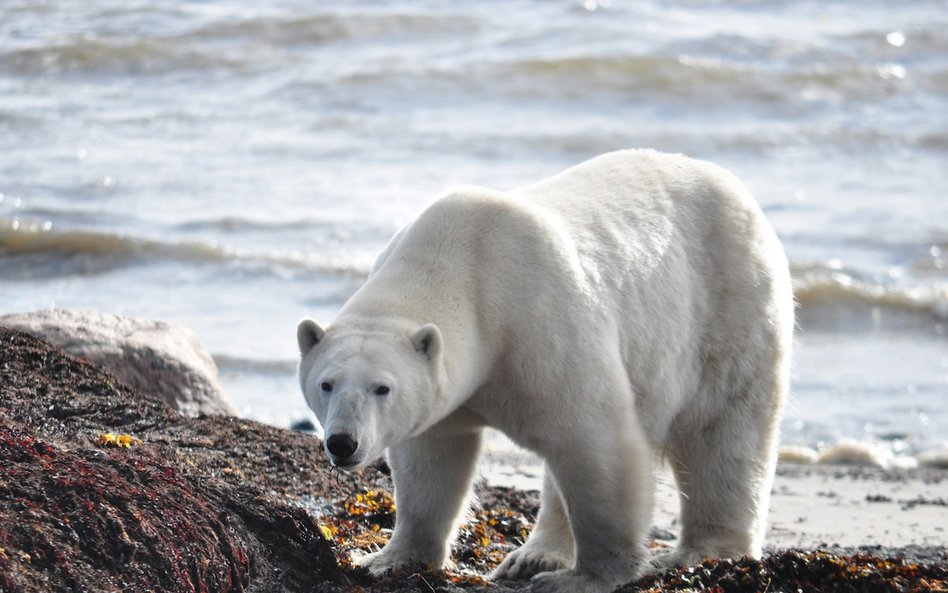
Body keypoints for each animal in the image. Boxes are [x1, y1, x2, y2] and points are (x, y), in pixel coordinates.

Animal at [296, 150, 792, 592]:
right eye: (326, 384)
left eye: (383, 388)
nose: (343, 443)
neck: (465, 267)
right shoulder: (450, 388)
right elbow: (433, 459)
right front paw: (388, 559)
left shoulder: (540, 324)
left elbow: (595, 439)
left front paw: (587, 577)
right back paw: (533, 555)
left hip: (729, 307)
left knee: (722, 434)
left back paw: (708, 551)